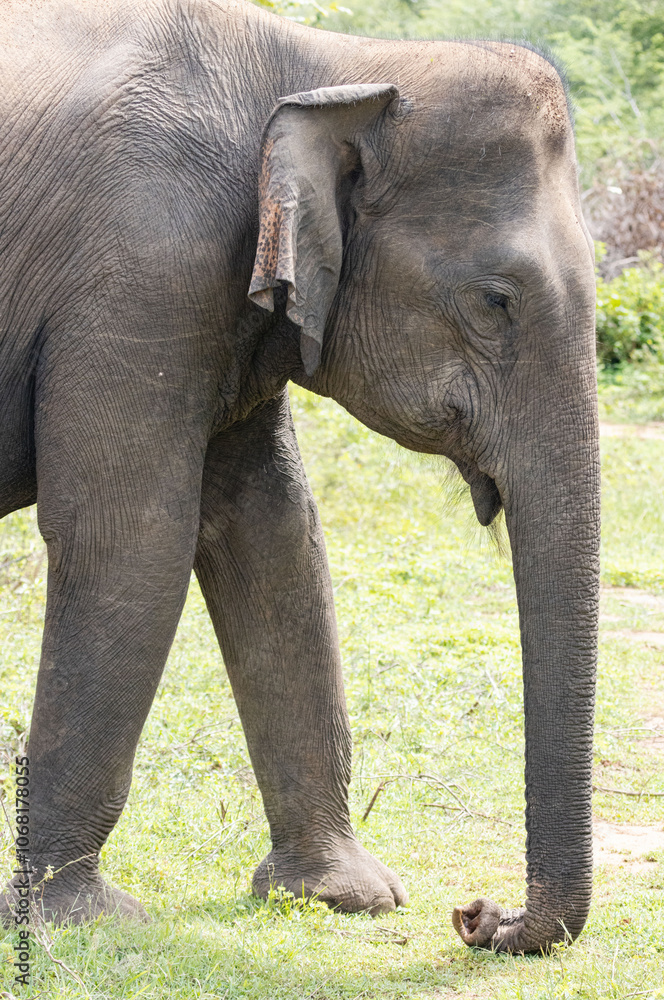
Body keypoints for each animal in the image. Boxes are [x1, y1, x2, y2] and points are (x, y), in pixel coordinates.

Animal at [0, 0, 599, 955]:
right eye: (495, 301)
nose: (477, 915)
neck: (335, 63)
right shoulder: (142, 271)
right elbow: (131, 538)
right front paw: (80, 923)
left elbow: (273, 534)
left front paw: (343, 897)